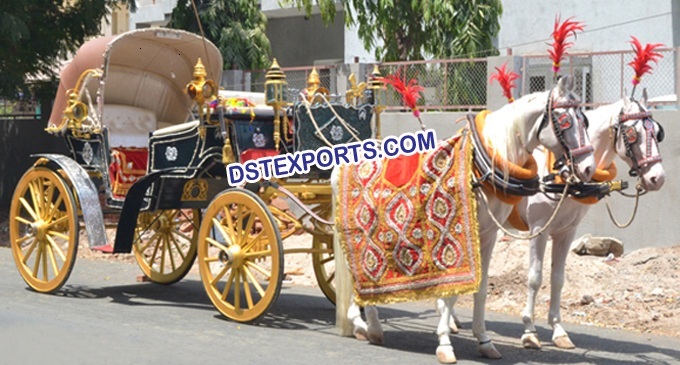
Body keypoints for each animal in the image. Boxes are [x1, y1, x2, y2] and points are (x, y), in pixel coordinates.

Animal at [334, 75, 596, 362]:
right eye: (565, 121)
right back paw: (365, 323)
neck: (481, 167)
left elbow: (480, 288)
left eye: (585, 121)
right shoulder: (455, 233)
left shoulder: (488, 234)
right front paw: (445, 343)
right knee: (357, 275)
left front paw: (484, 340)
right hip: (358, 233)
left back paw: (369, 326)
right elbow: (451, 290)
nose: (588, 168)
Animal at [516, 89, 664, 348]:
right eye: (632, 133)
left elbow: (558, 278)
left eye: (657, 132)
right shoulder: (539, 229)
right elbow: (535, 277)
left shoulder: (567, 231)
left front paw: (558, 330)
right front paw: (529, 331)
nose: (658, 177)